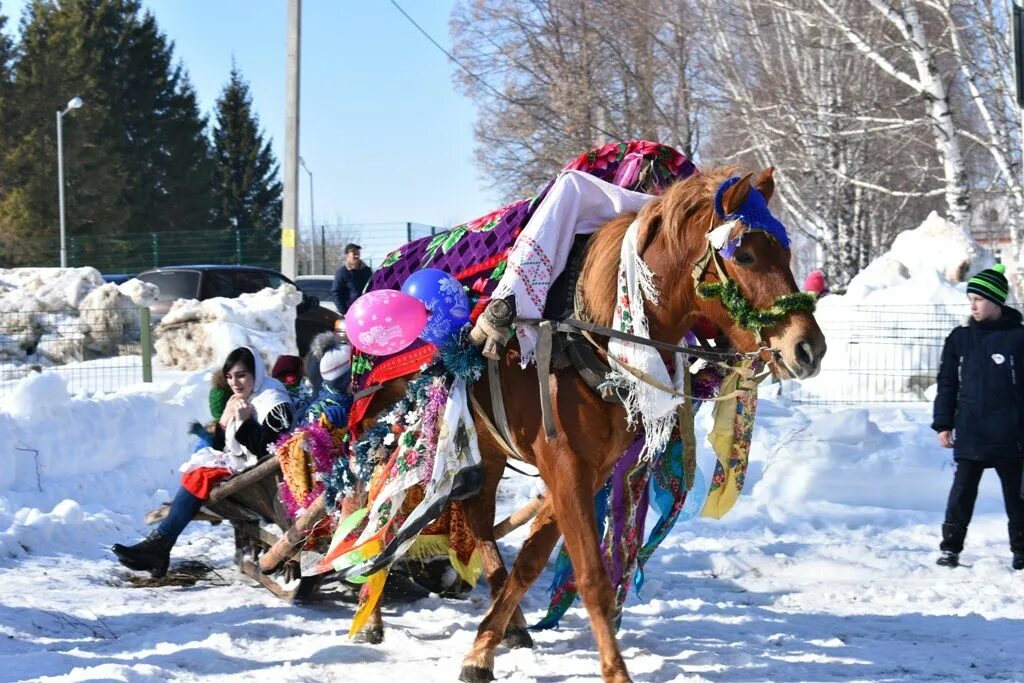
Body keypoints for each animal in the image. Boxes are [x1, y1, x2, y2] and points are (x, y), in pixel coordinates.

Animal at [446, 166, 823, 683]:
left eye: (785, 253)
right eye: (744, 254)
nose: (809, 348)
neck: (592, 333)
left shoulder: (593, 470)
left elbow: (531, 560)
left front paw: (485, 644)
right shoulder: (564, 464)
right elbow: (591, 576)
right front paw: (614, 670)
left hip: (489, 450)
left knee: (480, 525)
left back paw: (510, 624)